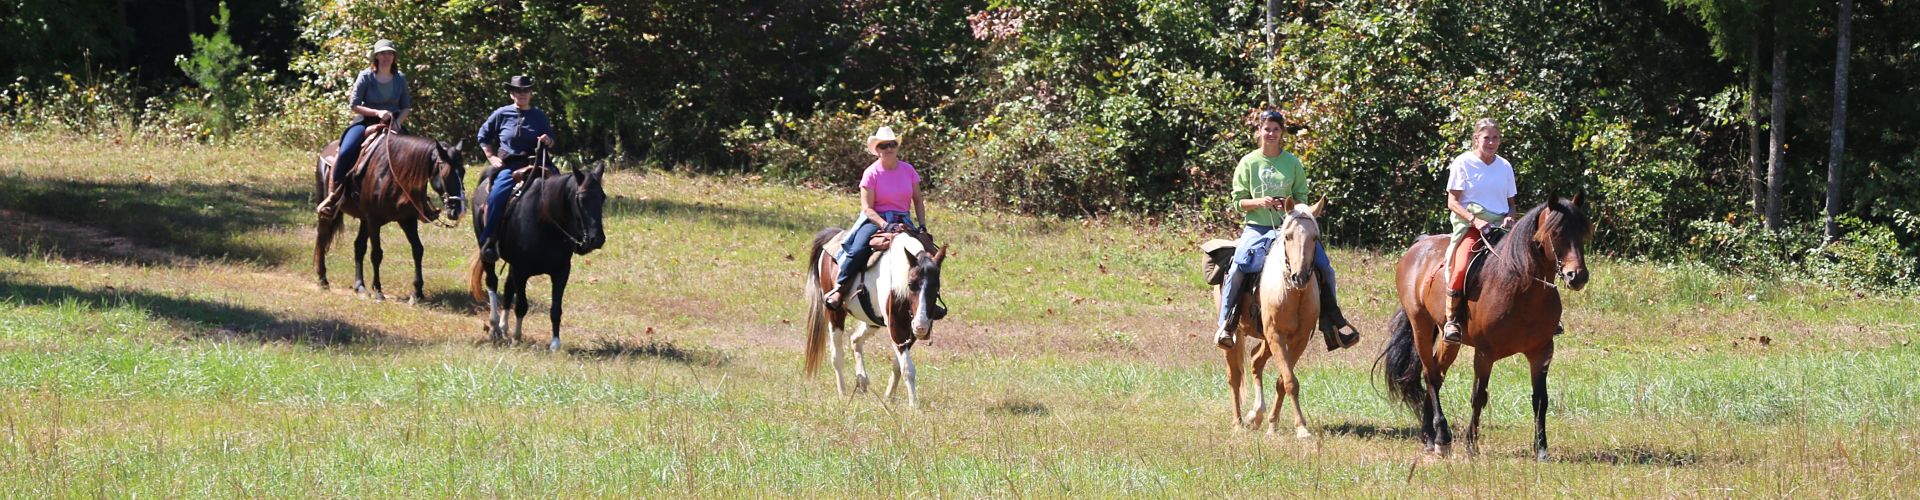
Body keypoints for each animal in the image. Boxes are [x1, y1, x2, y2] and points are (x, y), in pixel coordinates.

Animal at [314, 130, 468, 301]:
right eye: (446, 173)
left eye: (463, 172)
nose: (458, 210)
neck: (394, 173)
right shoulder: (374, 220)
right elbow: (376, 254)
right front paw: (378, 291)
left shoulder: (407, 219)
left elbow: (418, 249)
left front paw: (417, 292)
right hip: (332, 210)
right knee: (322, 237)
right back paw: (322, 280)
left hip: (364, 219)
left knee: (358, 246)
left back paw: (360, 287)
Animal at [464, 162, 606, 350]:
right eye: (581, 198)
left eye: (602, 197)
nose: (597, 239)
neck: (545, 221)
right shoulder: (521, 270)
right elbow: (522, 305)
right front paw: (517, 337)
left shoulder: (561, 272)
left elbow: (556, 309)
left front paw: (555, 344)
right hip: (486, 252)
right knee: (492, 282)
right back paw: (495, 327)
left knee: (508, 288)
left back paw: (504, 327)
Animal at [798, 228, 948, 407]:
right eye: (911, 284)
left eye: (936, 286)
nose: (921, 326)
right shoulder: (896, 327)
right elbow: (907, 368)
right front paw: (914, 405)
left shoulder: (909, 332)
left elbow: (898, 365)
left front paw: (889, 396)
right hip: (835, 314)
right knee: (837, 355)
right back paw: (843, 393)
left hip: (873, 321)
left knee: (855, 339)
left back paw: (862, 381)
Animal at [1205, 200, 1328, 434]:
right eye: (1288, 236)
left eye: (1315, 237)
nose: (1300, 277)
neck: (1292, 293)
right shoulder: (1276, 335)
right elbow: (1290, 381)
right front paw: (1301, 429)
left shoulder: (1298, 340)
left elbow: (1283, 380)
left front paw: (1273, 424)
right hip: (1234, 336)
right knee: (1234, 376)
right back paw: (1238, 423)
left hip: (1265, 338)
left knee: (1255, 359)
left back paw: (1256, 415)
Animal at [1382, 196, 1589, 461]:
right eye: (1556, 233)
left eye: (1582, 232)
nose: (1577, 276)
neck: (1520, 289)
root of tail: (1419, 245)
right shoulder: (1484, 353)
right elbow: (1479, 397)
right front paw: (1471, 444)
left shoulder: (1541, 352)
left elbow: (1541, 400)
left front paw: (1541, 448)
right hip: (1421, 325)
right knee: (1430, 375)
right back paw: (1442, 438)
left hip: (1449, 339)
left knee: (1438, 373)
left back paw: (1430, 436)